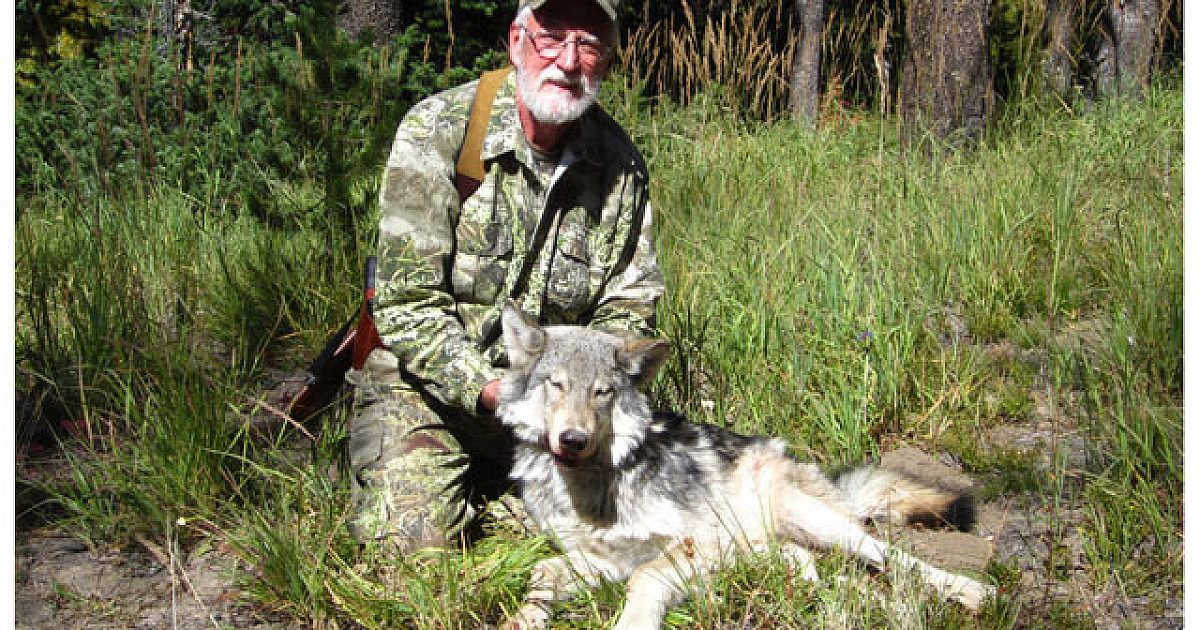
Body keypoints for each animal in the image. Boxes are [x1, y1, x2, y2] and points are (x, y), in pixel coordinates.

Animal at [495, 302, 995, 630]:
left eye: (602, 392)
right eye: (556, 385)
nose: (573, 440)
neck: (590, 486)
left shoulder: (696, 542)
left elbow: (645, 577)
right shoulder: (598, 559)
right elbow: (541, 575)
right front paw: (523, 619)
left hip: (817, 522)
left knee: (896, 560)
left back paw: (975, 593)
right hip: (769, 546)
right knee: (816, 568)